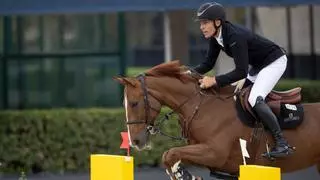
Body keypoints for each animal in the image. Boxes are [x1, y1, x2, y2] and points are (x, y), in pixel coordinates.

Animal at [112, 60, 320, 180]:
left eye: (134, 103)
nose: (135, 141)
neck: (201, 106)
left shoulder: (214, 152)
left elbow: (170, 153)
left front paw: (183, 174)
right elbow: (171, 155)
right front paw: (182, 173)